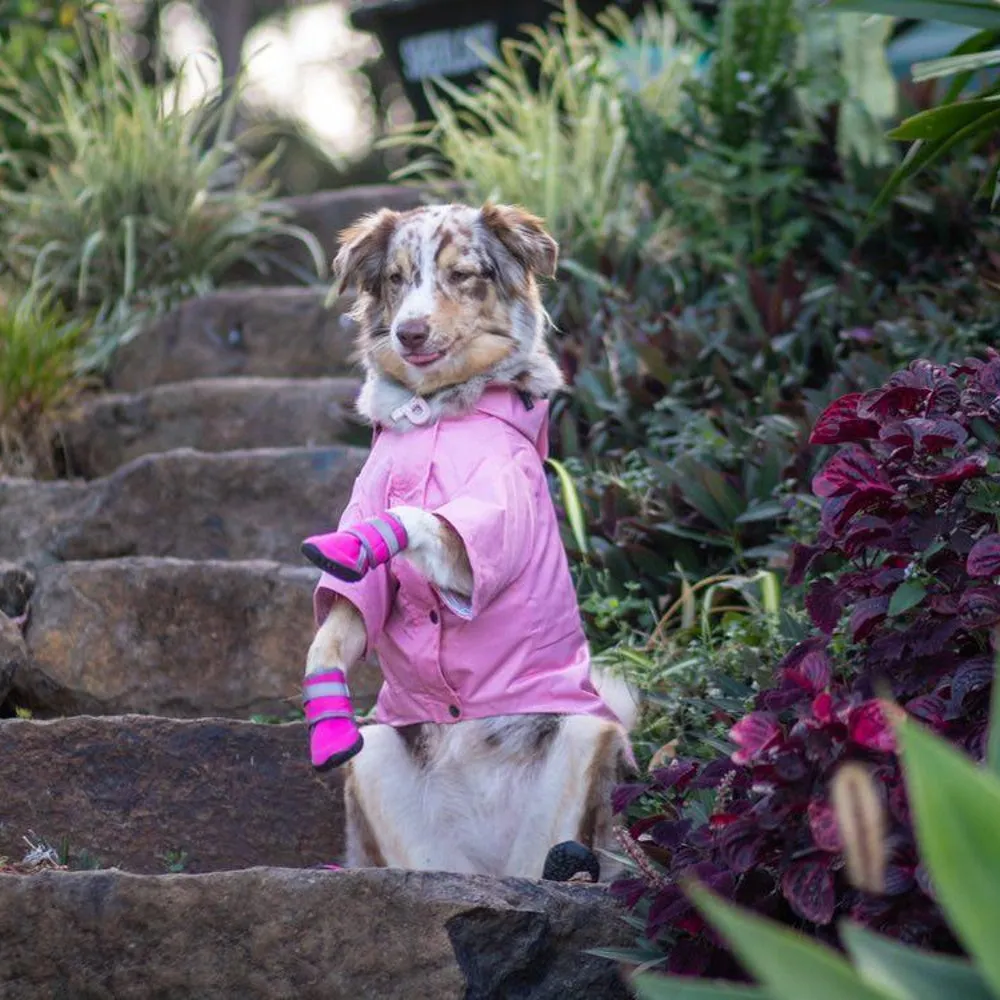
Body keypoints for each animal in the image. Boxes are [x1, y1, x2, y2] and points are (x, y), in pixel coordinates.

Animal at [300, 203, 636, 884]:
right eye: (397, 278)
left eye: (461, 275)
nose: (409, 333)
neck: (434, 414)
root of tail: (486, 866)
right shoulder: (361, 602)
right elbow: (332, 632)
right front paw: (326, 719)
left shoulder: (486, 528)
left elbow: (420, 515)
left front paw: (358, 542)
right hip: (380, 759)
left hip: (589, 731)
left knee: (559, 858)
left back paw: (566, 871)